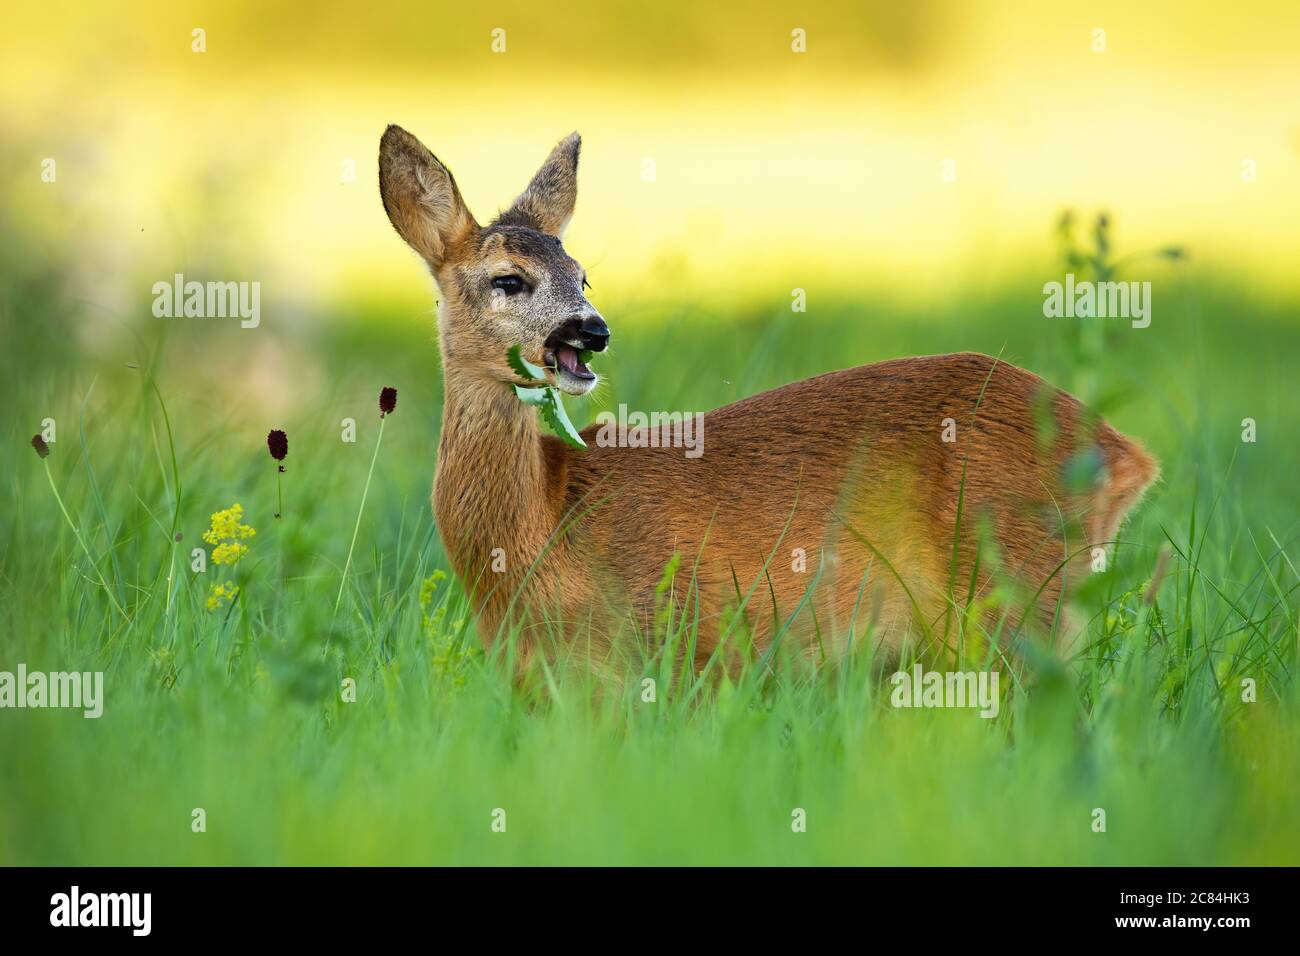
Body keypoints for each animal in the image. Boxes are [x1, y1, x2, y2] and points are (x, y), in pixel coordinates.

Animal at [378, 125, 1159, 677]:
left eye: (581, 275)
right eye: (509, 279)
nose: (590, 332)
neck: (541, 528)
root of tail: (1127, 456)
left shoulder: (681, 647)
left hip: (1012, 594)